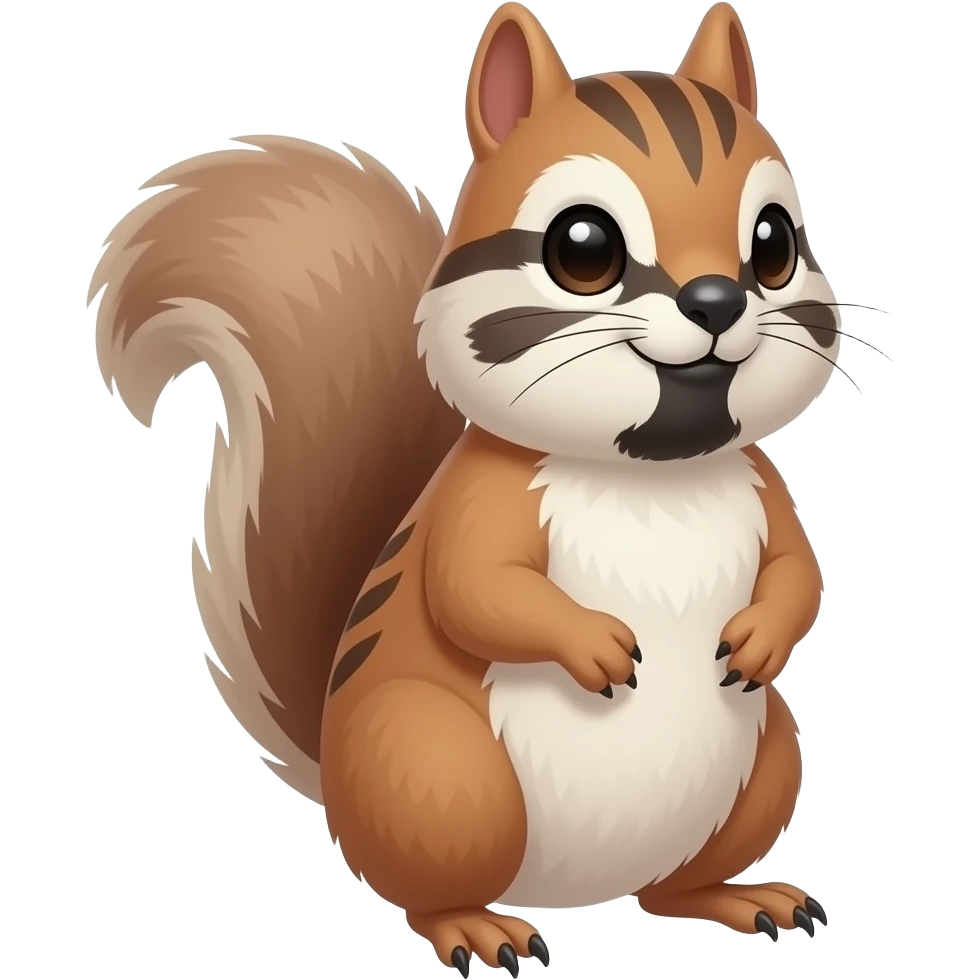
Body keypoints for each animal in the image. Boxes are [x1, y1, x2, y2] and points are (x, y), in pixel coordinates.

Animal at [90, 1, 835, 973]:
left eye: (776, 243)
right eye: (583, 247)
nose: (716, 299)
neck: (650, 474)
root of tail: (575, 892)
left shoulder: (764, 489)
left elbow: (800, 576)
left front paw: (761, 636)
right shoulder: (481, 504)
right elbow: (474, 589)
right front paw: (594, 645)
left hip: (768, 755)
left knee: (672, 889)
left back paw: (743, 897)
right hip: (436, 765)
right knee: (429, 890)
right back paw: (478, 929)